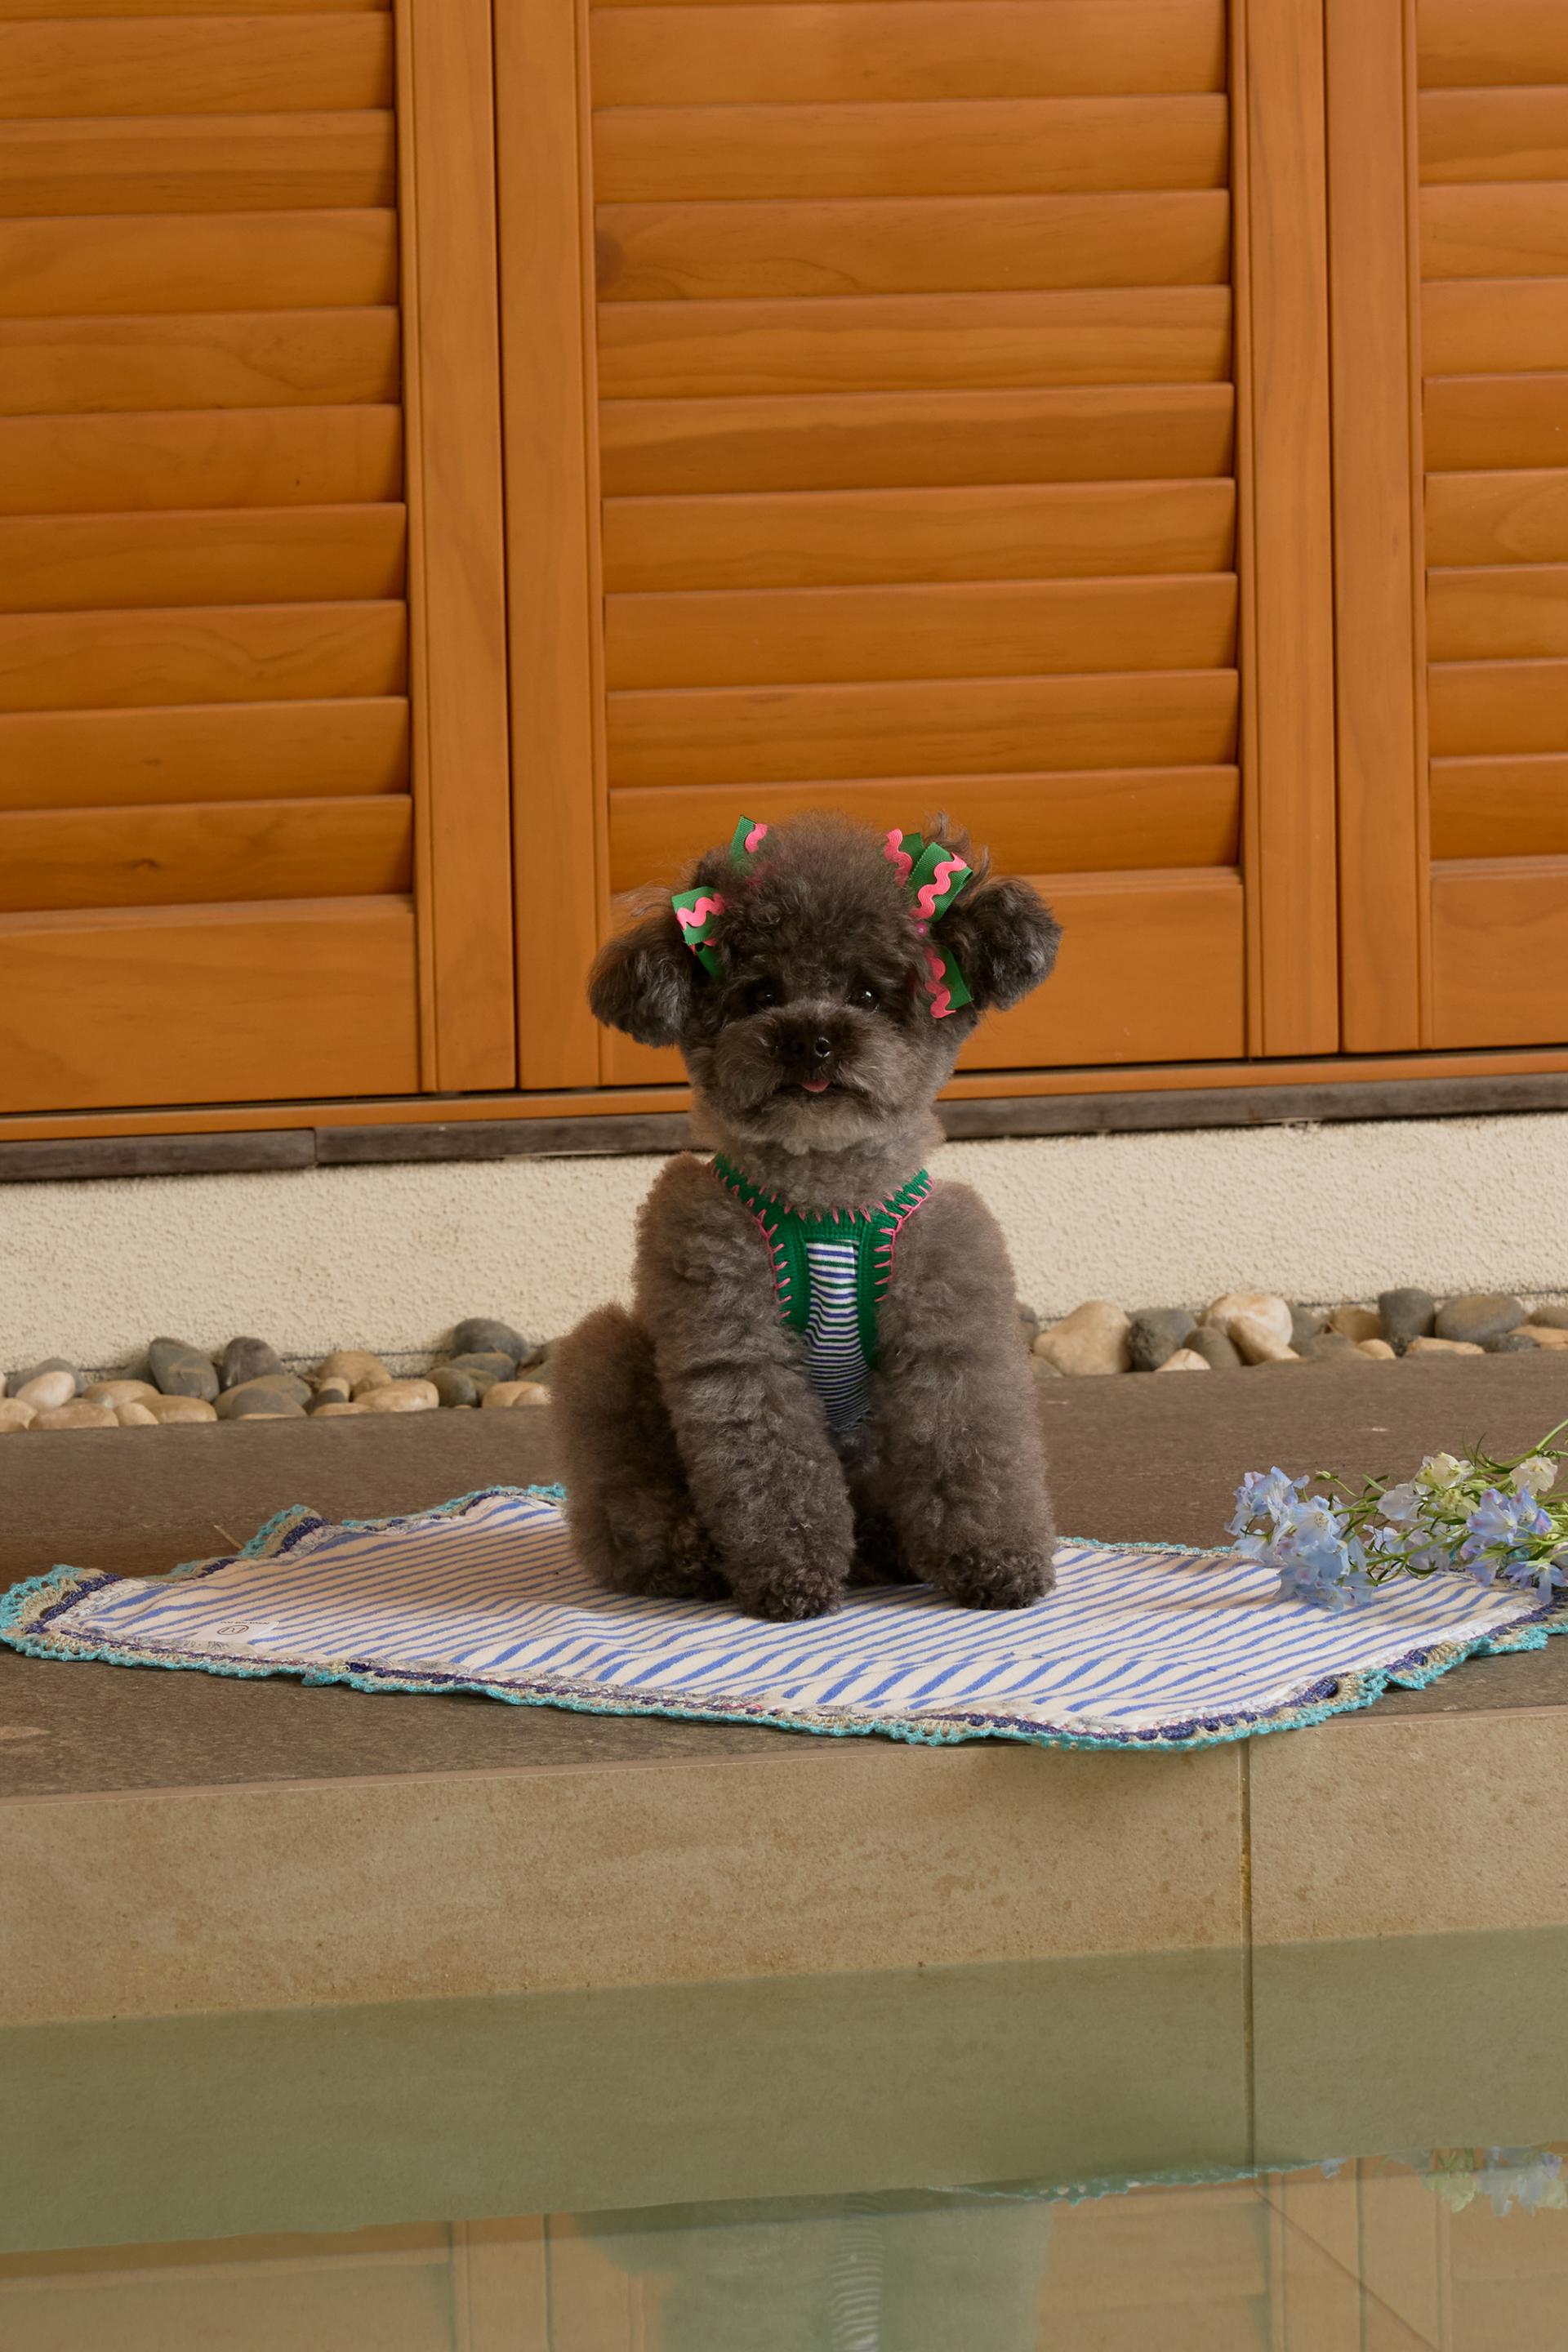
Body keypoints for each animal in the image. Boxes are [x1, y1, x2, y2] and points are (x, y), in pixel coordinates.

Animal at [551, 812, 1062, 1621]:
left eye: (868, 993)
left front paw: (997, 1563)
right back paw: (684, 1554)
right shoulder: (737, 1349)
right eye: (760, 992)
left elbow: (970, 1449)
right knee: (625, 1496)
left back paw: (887, 1548)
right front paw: (790, 1575)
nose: (811, 1038)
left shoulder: (951, 1331)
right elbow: (773, 1471)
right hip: (606, 1356)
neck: (825, 1202)